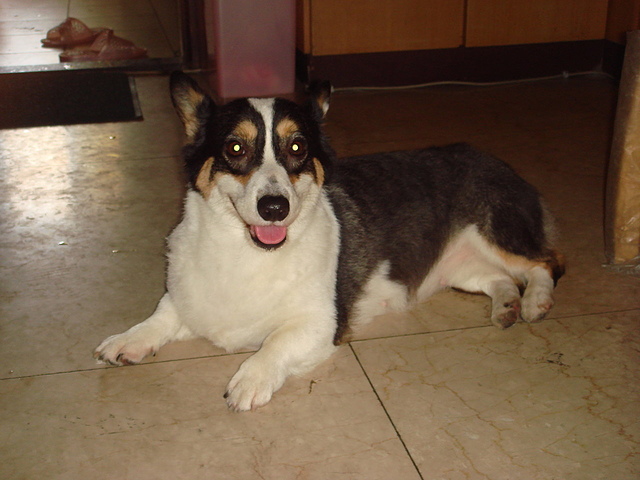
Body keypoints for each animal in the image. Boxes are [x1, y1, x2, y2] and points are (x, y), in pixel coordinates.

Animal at [94, 72, 564, 411]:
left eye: (297, 147)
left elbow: (274, 345)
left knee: (546, 263)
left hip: (496, 233)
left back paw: (534, 303)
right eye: (235, 148)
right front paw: (125, 341)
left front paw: (248, 380)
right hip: (462, 268)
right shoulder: (183, 299)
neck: (246, 253)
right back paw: (506, 307)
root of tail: (500, 162)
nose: (274, 208)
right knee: (499, 279)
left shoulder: (319, 324)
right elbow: (158, 317)